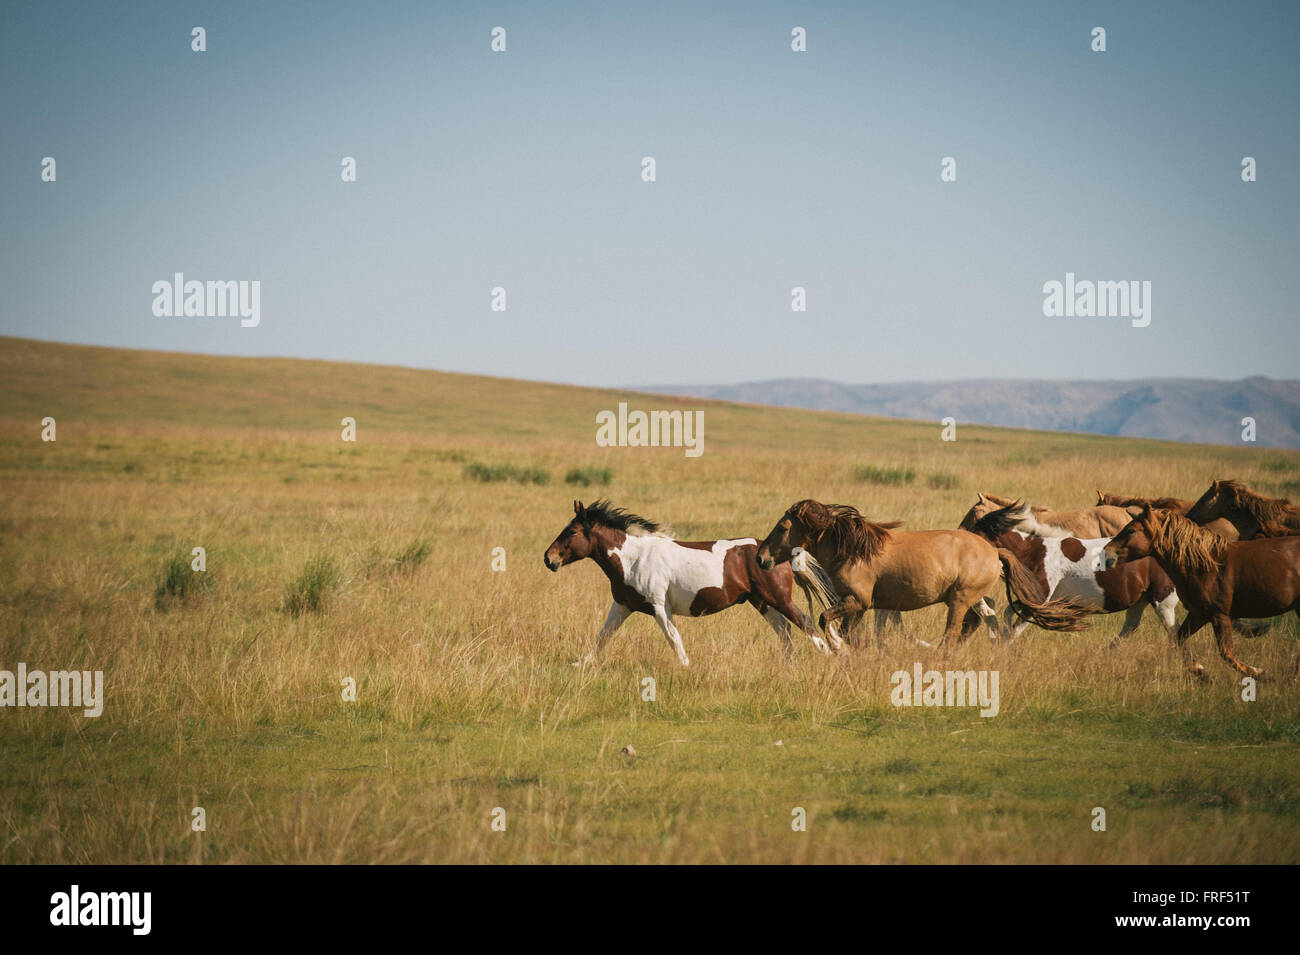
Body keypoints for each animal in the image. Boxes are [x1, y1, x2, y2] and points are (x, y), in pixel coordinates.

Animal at [543, 500, 831, 665]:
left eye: (572, 531)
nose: (549, 559)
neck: (634, 558)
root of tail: (778, 554)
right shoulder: (622, 605)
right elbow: (604, 635)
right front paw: (582, 664)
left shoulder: (660, 607)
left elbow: (674, 639)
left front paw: (686, 667)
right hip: (761, 602)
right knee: (785, 631)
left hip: (778, 599)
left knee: (805, 623)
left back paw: (830, 657)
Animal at [756, 500, 1089, 648]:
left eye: (783, 528)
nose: (761, 558)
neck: (854, 550)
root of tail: (994, 551)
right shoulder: (860, 606)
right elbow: (847, 630)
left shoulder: (858, 602)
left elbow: (828, 621)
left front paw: (841, 648)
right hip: (968, 599)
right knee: (981, 619)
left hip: (959, 600)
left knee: (955, 630)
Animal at [966, 500, 1178, 645]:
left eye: (975, 534)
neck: (1035, 552)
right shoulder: (1032, 601)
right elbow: (1007, 614)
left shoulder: (1037, 602)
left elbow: (1014, 632)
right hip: (1139, 602)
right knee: (1128, 630)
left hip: (1163, 602)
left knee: (1174, 634)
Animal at [1102, 506, 1300, 679]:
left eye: (1131, 531)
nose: (1106, 554)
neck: (1206, 565)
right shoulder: (1200, 614)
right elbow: (1179, 639)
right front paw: (1199, 671)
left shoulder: (1219, 615)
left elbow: (1226, 653)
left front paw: (1260, 673)